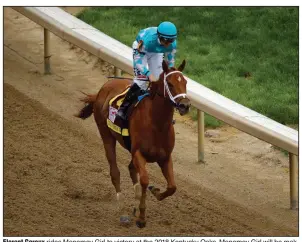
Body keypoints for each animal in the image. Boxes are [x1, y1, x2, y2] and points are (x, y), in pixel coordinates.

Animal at [75, 59, 190, 228]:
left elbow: (172, 187)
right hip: (106, 135)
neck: (157, 124)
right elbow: (144, 180)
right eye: (169, 83)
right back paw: (122, 207)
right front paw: (141, 218)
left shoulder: (165, 157)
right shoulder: (138, 154)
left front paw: (155, 192)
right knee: (115, 171)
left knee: (130, 169)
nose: (185, 105)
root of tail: (103, 88)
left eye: (185, 82)